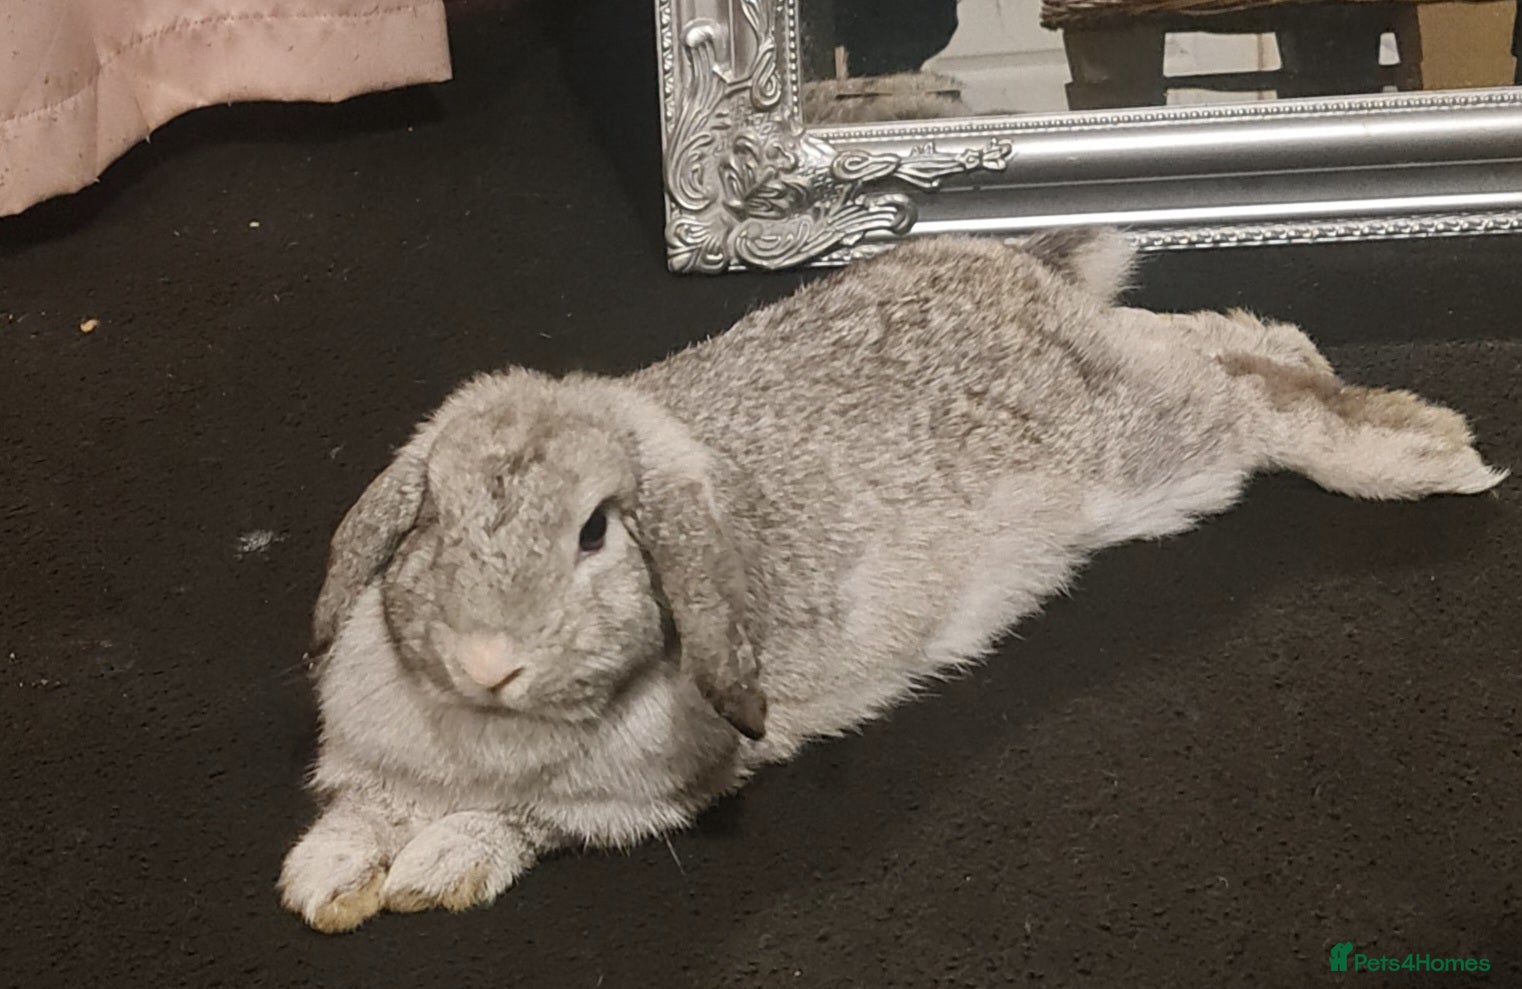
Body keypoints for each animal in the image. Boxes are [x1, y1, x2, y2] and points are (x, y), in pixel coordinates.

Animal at [279, 229, 1506, 933]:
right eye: (429, 517)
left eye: (594, 532)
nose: (491, 658)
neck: (484, 727)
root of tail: (1010, 270)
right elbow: (372, 805)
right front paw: (327, 874)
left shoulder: (641, 791)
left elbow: (524, 819)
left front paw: (437, 862)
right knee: (1230, 335)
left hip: (1161, 459)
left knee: (1254, 390)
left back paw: (1424, 452)